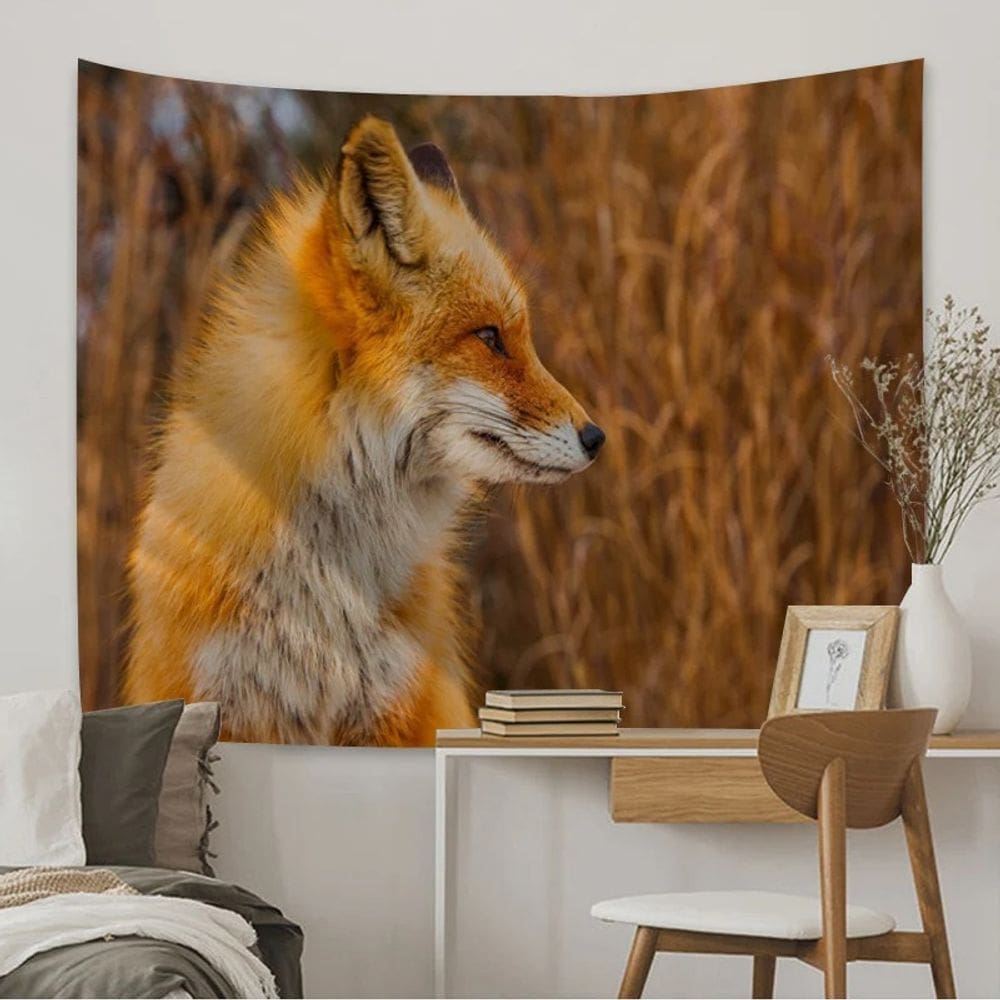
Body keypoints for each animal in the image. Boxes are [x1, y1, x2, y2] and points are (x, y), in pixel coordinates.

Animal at [122, 116, 605, 746]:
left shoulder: (399, 703)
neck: (326, 589)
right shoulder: (227, 697)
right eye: (489, 337)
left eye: (518, 336)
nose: (596, 438)